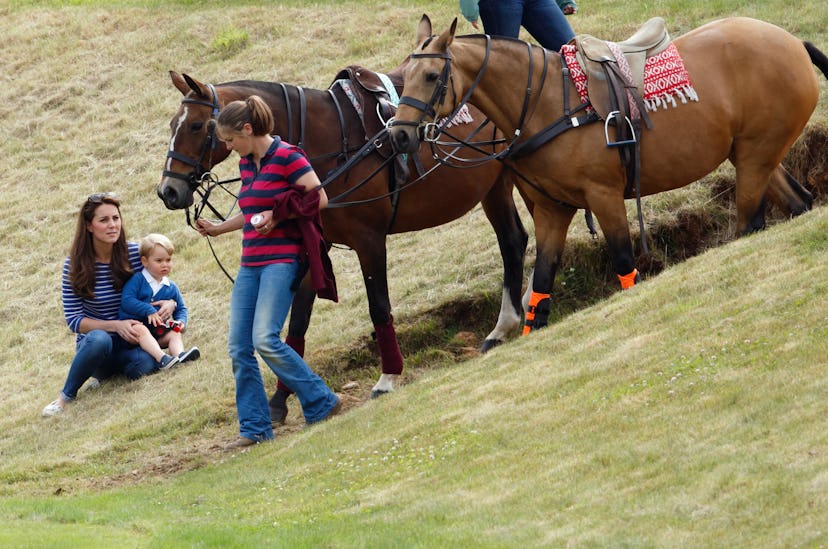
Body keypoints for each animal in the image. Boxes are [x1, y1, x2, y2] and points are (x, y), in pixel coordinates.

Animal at [157, 67, 532, 412]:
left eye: (196, 126)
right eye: (173, 125)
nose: (168, 191)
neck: (329, 141)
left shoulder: (369, 241)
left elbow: (379, 307)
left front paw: (388, 376)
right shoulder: (313, 246)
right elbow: (298, 322)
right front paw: (281, 398)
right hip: (497, 185)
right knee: (515, 239)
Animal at [392, 17, 824, 332]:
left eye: (431, 76)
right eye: (401, 78)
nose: (398, 134)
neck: (548, 103)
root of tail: (790, 40)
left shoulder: (604, 196)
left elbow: (624, 264)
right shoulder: (552, 211)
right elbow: (541, 290)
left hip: (755, 157)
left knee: (750, 223)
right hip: (754, 156)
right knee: (796, 203)